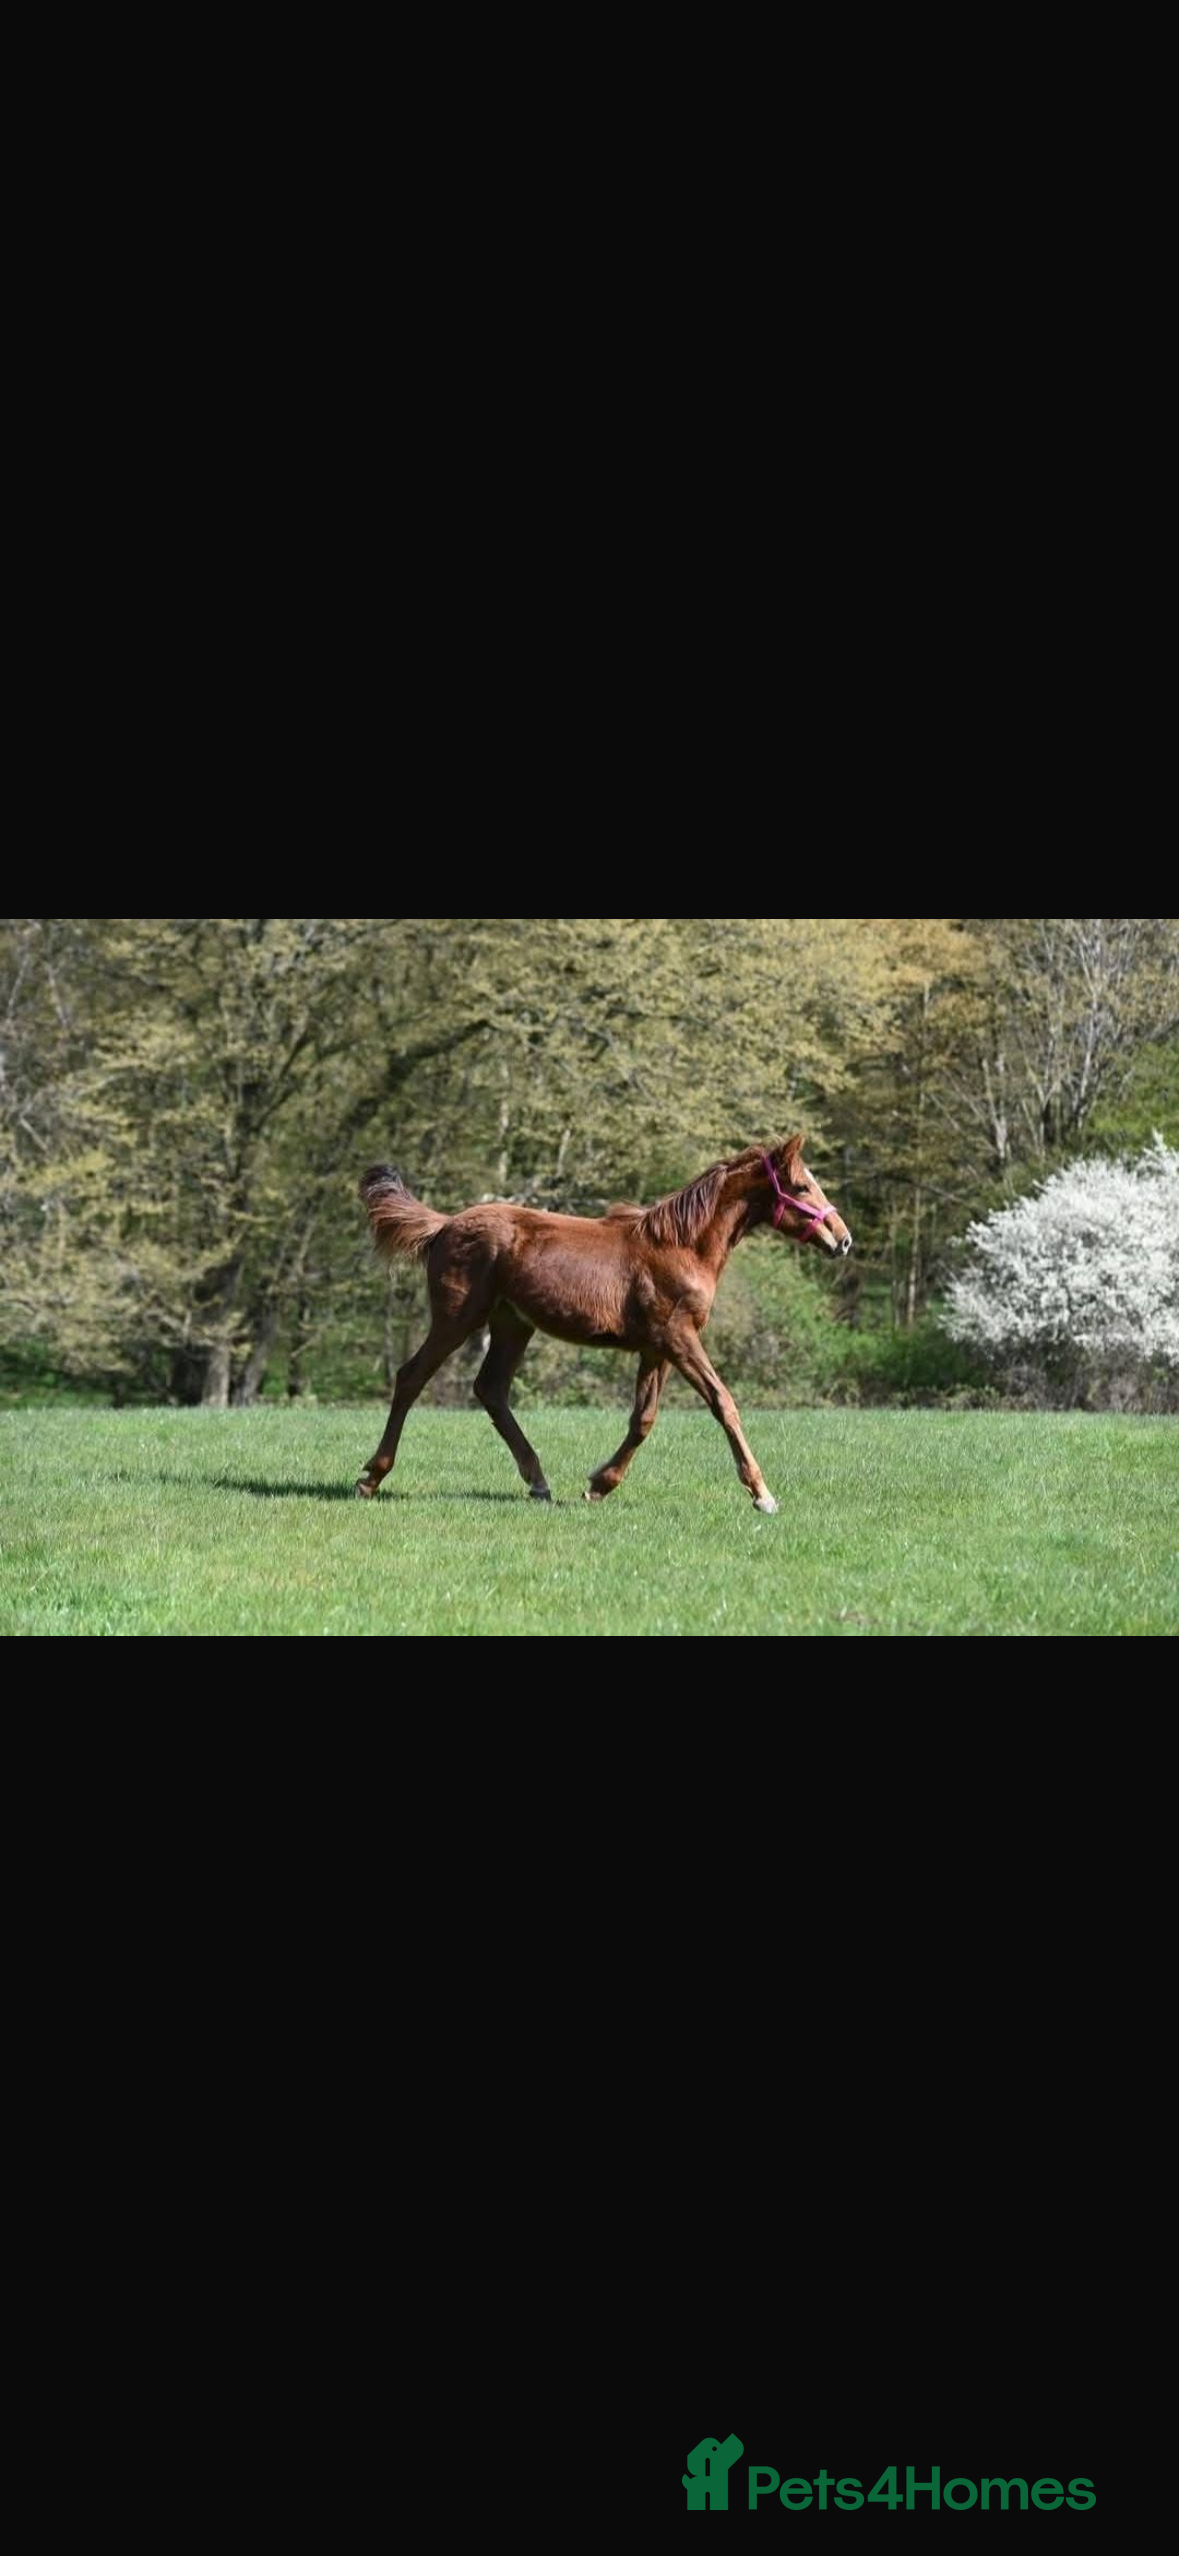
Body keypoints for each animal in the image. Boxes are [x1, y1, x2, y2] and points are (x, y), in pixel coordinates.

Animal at [354, 1136, 853, 1514]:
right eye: (802, 1187)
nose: (843, 1240)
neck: (681, 1246)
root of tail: (444, 1226)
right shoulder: (679, 1338)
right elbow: (723, 1403)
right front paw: (762, 1495)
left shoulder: (656, 1348)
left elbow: (643, 1419)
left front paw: (598, 1486)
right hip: (457, 1318)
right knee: (412, 1376)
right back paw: (371, 1477)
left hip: (513, 1324)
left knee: (490, 1389)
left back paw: (538, 1482)